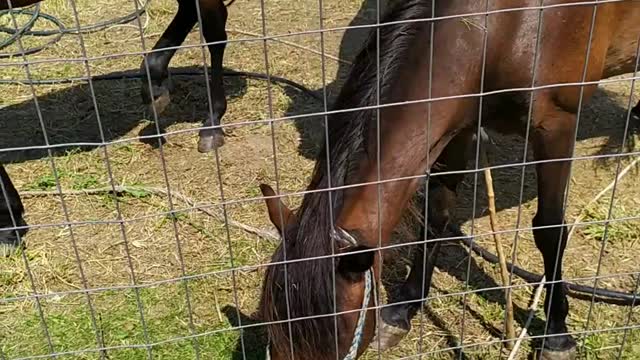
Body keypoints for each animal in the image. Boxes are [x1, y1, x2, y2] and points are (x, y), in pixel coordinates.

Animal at [258, 0, 636, 360]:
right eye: (273, 332)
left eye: (335, 343)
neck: (509, 25)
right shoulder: (458, 127)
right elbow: (436, 215)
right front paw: (401, 311)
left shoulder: (556, 127)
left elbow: (550, 231)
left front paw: (557, 335)